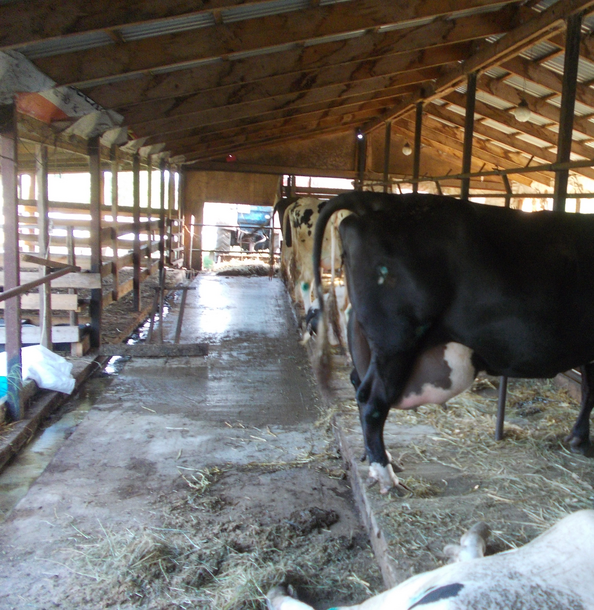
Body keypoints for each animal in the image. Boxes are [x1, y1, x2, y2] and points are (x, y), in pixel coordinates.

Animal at [313, 191, 594, 493]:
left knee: (358, 382)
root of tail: (382, 200)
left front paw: (578, 439)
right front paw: (581, 440)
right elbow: (591, 392)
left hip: (367, 338)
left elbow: (587, 389)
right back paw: (386, 476)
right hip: (396, 341)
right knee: (372, 400)